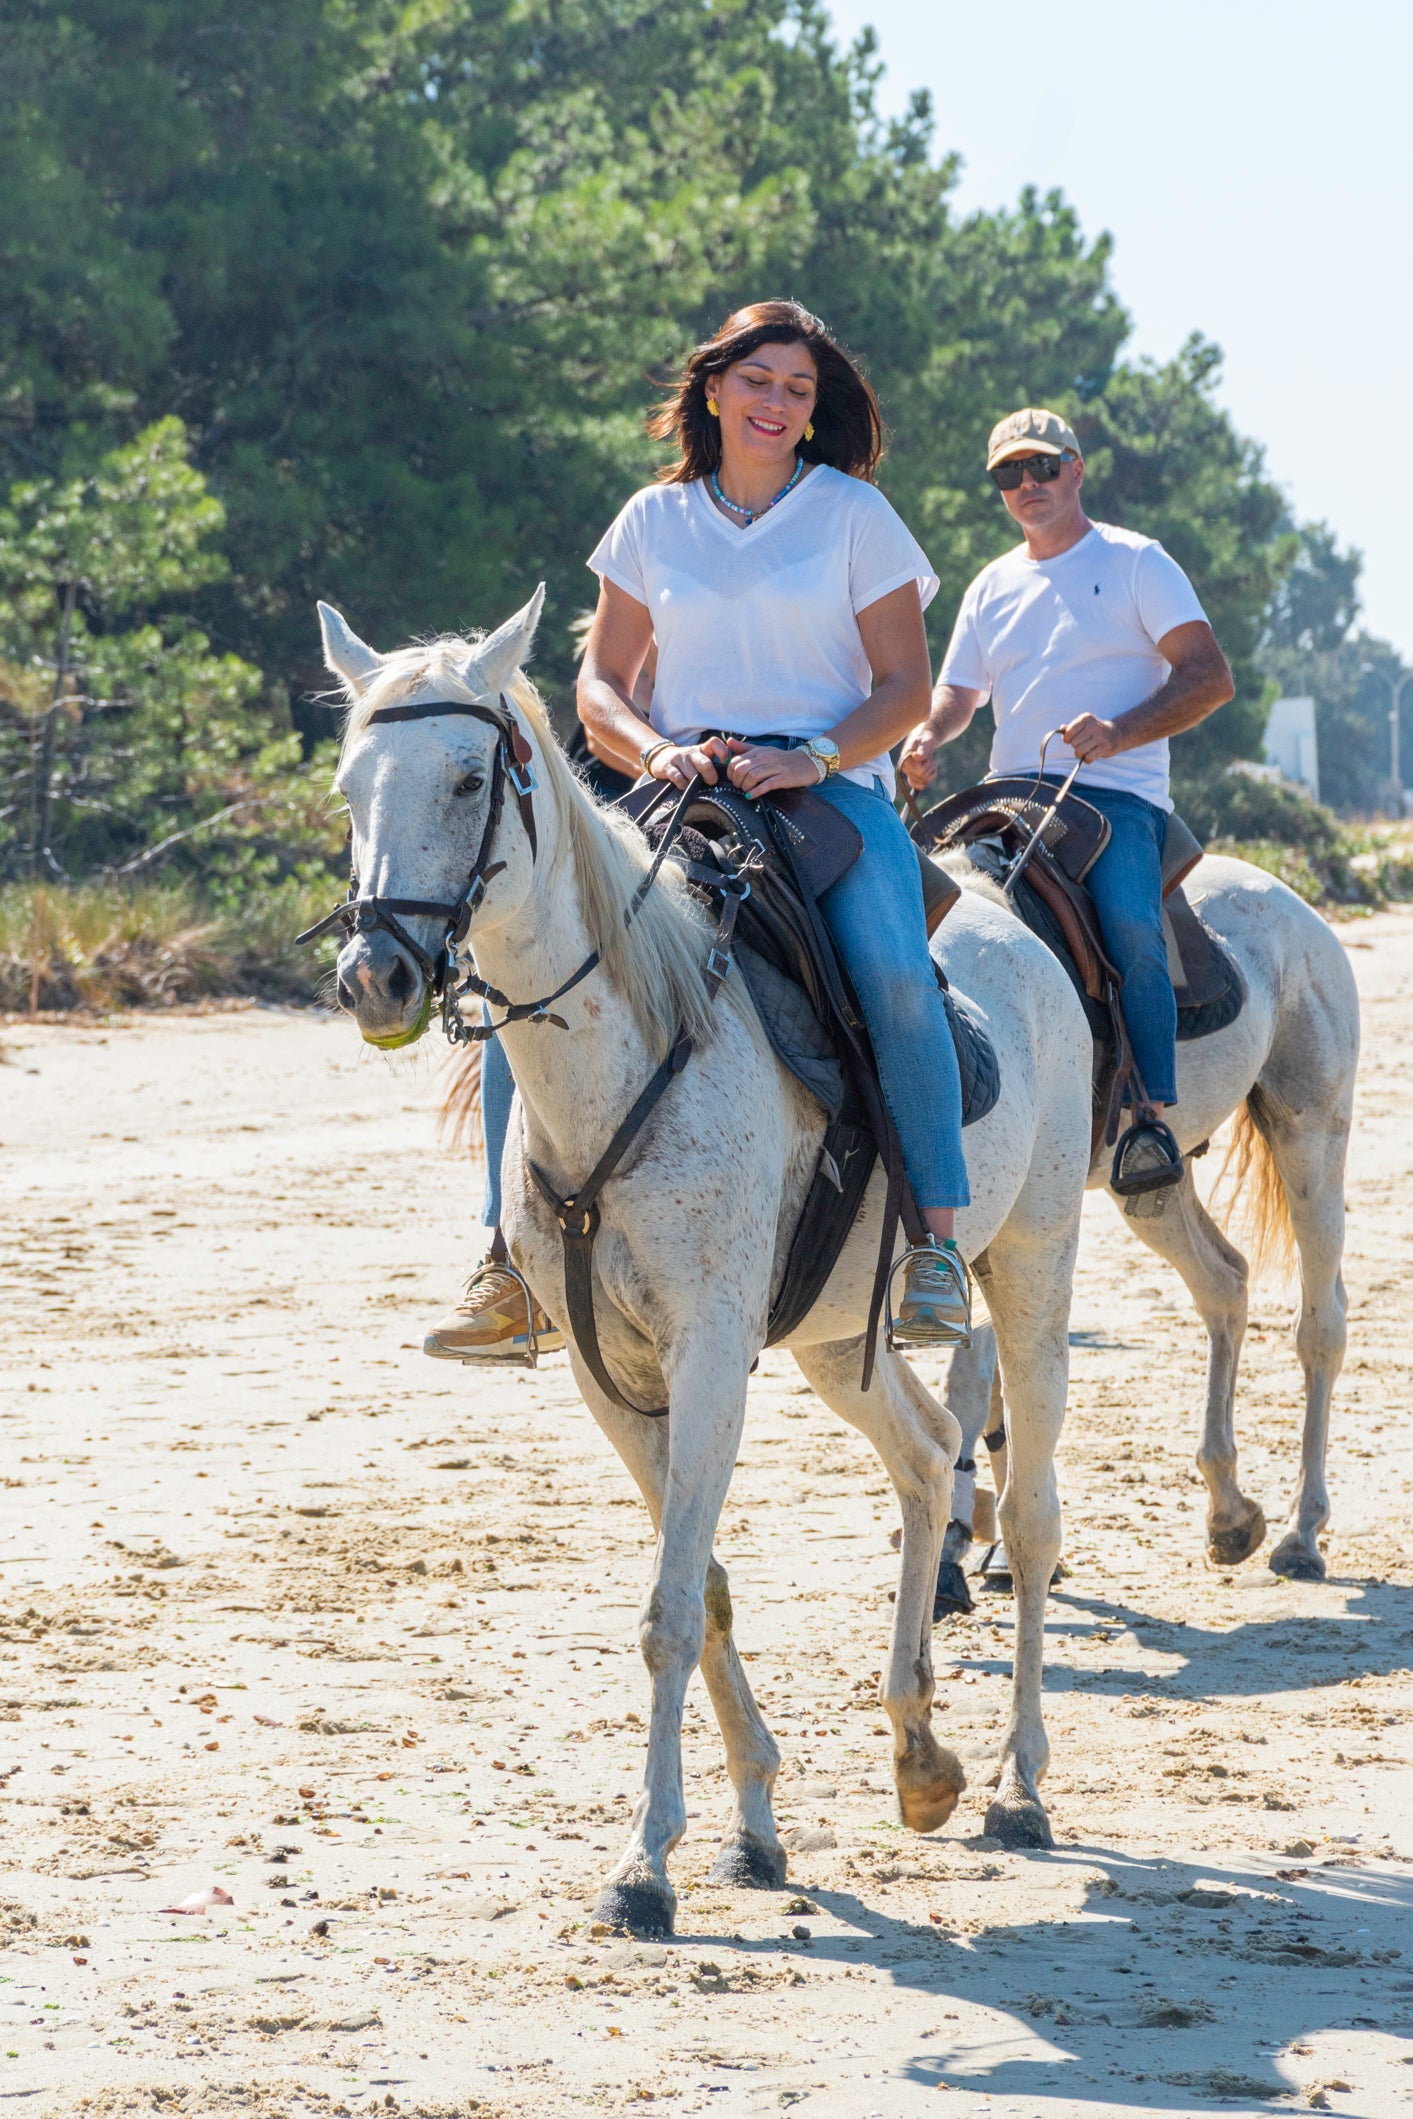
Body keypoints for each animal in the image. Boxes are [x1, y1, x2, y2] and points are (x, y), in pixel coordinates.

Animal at [319, 593, 1093, 1924]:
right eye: (350, 785)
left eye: (469, 777)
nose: (378, 973)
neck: (631, 1052)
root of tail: (1013, 916)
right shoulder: (614, 1378)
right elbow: (710, 1587)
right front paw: (752, 1832)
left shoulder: (712, 1356)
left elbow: (673, 1609)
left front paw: (644, 1866)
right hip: (839, 1340)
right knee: (929, 1455)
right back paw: (920, 1754)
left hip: (1032, 1269)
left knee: (1033, 1515)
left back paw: (1017, 1785)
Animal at [940, 843, 1355, 1593]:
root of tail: (1290, 902)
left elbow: (973, 1381)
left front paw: (956, 1557)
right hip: (1154, 1188)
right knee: (1224, 1282)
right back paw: (1229, 1513)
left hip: (1311, 1137)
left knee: (1320, 1326)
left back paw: (1301, 1532)